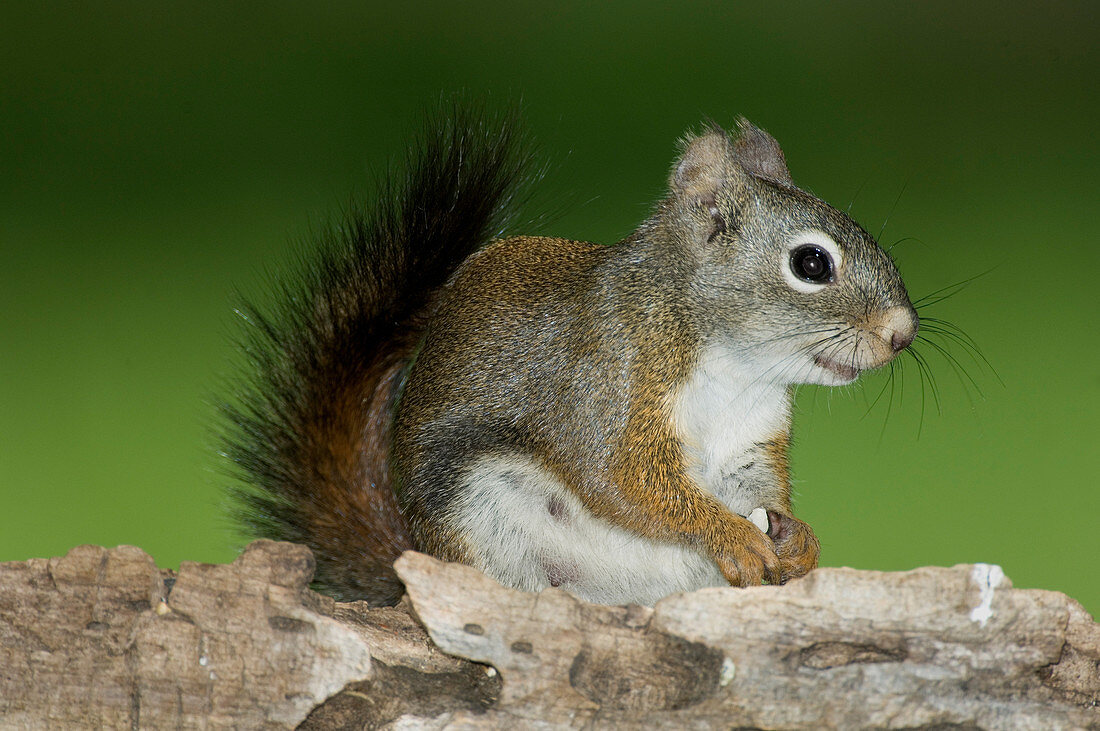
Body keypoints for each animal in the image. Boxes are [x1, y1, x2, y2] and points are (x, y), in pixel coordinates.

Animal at [218, 102, 915, 602]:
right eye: (811, 263)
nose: (903, 333)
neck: (734, 365)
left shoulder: (750, 439)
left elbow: (759, 489)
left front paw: (799, 543)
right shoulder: (608, 382)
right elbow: (623, 480)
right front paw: (734, 537)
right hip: (483, 513)